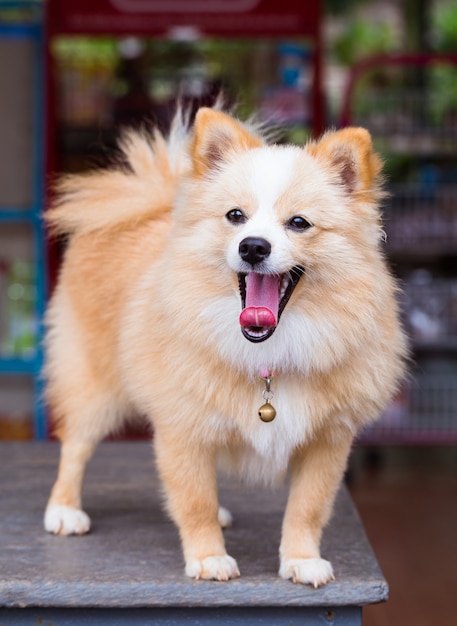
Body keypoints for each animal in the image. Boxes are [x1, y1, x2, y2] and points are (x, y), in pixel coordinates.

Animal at [43, 107, 406, 584]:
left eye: (299, 223)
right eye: (235, 216)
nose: (253, 246)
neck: (270, 350)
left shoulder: (327, 440)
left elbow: (307, 508)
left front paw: (301, 559)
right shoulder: (183, 429)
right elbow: (195, 500)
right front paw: (208, 557)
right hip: (95, 387)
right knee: (75, 447)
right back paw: (64, 510)